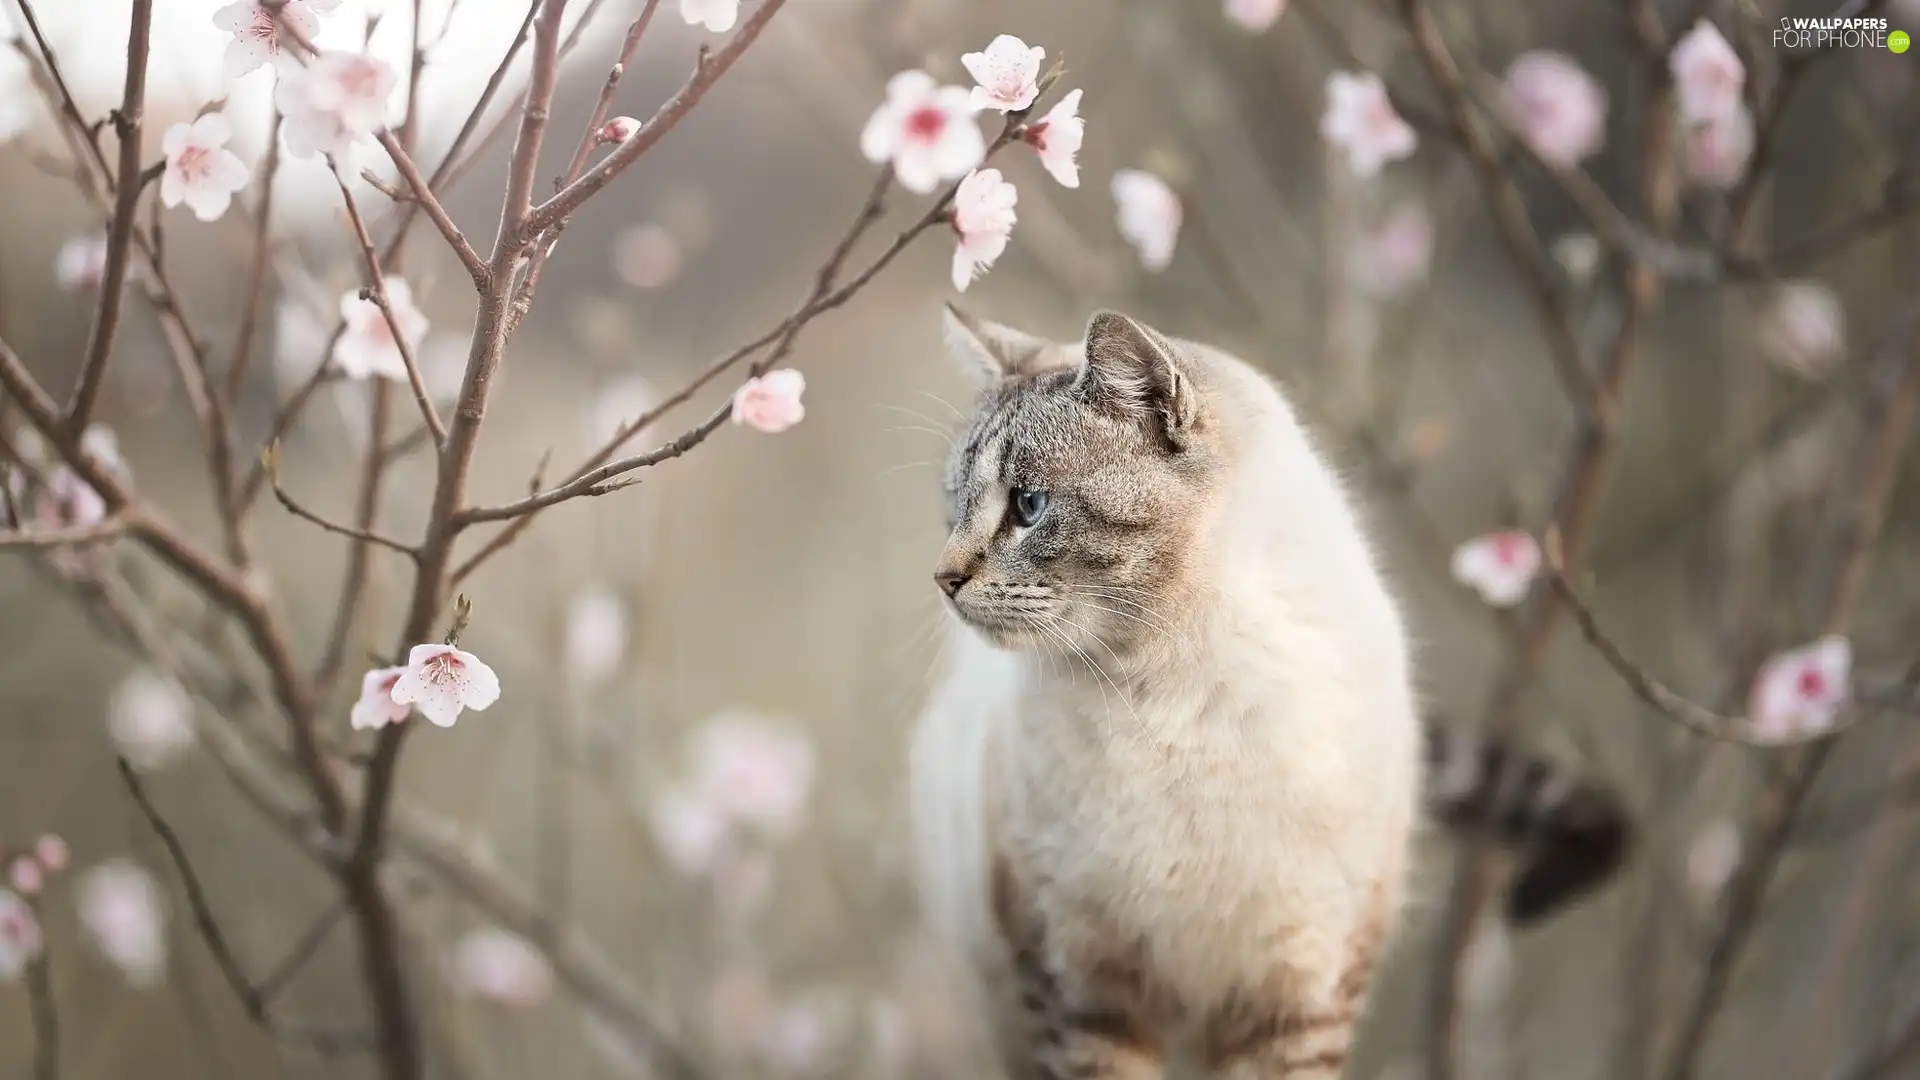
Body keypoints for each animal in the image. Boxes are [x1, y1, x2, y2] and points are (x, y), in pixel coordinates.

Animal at [906, 305, 1628, 1076]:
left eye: (1029, 505)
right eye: (955, 506)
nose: (943, 578)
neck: (1170, 689)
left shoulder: (1296, 996)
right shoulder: (1082, 991)